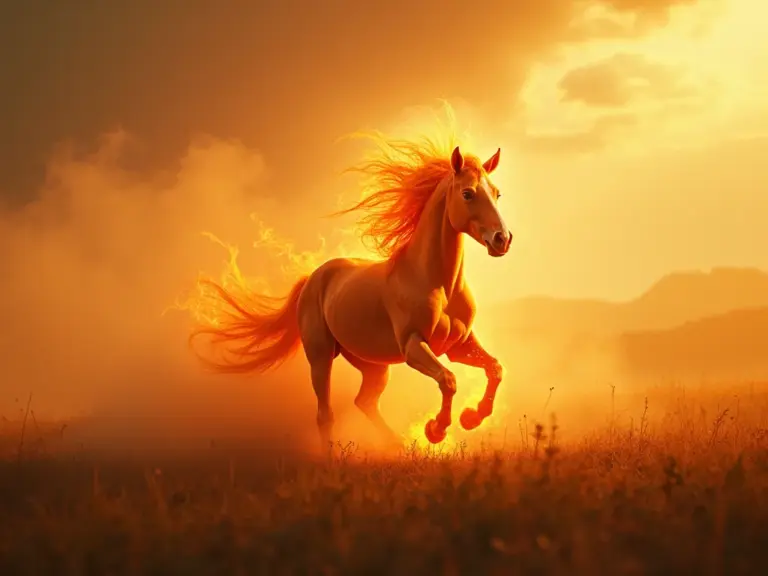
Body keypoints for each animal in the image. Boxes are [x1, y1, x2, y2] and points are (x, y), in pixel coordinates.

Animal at [189, 134, 512, 448]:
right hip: (320, 357)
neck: (437, 284)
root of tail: (314, 277)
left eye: (497, 193)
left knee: (364, 401)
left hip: (372, 364)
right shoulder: (413, 345)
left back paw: (397, 445)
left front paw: (471, 417)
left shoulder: (459, 345)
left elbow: (495, 368)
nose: (502, 239)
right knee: (325, 414)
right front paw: (436, 430)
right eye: (467, 193)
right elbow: (449, 380)